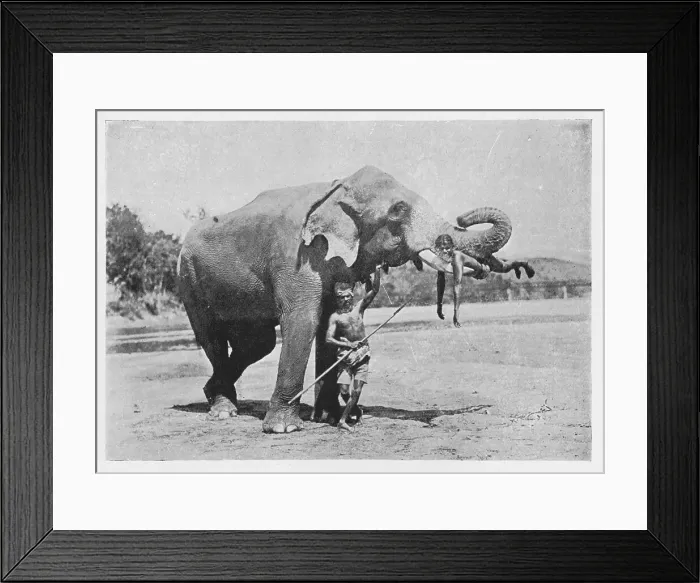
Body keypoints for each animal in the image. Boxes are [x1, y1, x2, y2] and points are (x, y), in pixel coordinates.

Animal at [177, 165, 513, 433]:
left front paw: (330, 418)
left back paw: (214, 396)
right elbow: (304, 321)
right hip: (188, 280)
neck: (336, 188)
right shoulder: (296, 257)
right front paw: (284, 429)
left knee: (258, 343)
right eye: (398, 210)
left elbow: (327, 321)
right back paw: (223, 411)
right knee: (213, 337)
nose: (462, 218)